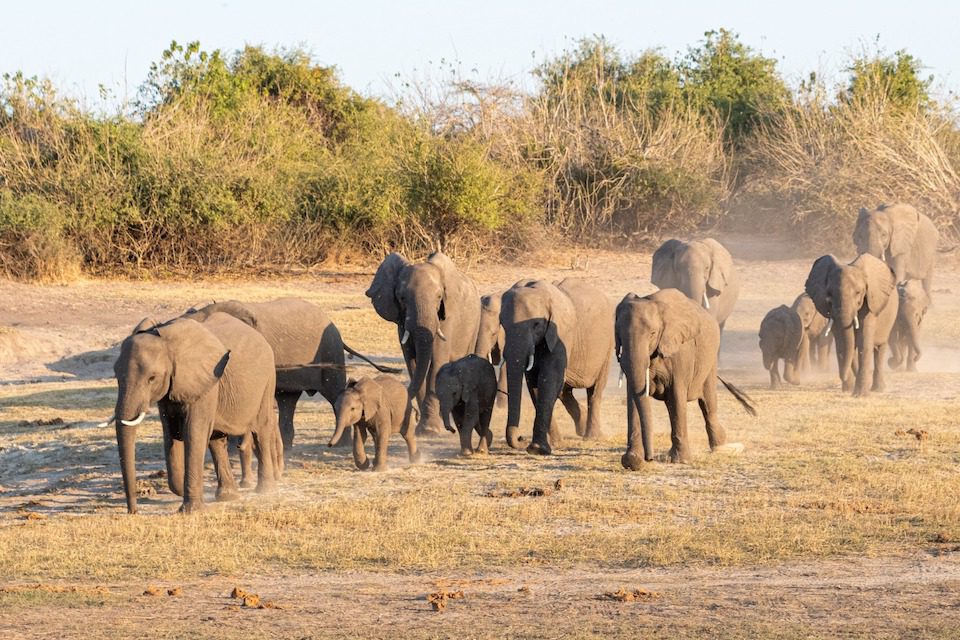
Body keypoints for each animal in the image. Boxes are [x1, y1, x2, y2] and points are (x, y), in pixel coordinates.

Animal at [110, 312, 282, 512]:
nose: (134, 511)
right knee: (216, 440)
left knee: (260, 430)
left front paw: (190, 511)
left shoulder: (207, 383)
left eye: (152, 378)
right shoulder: (172, 389)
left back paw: (265, 491)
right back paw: (228, 496)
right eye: (116, 377)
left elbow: (193, 432)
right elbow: (171, 432)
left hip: (268, 380)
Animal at [364, 250, 480, 436]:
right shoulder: (402, 322)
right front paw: (424, 426)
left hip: (474, 323)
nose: (415, 414)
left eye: (439, 297)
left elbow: (436, 362)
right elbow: (413, 363)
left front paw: (429, 430)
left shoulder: (446, 317)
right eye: (402, 298)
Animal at [498, 278, 612, 452]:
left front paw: (537, 449)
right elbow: (535, 384)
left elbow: (548, 380)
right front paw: (554, 444)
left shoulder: (561, 335)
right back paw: (582, 427)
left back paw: (592, 436)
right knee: (564, 390)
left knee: (595, 390)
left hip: (607, 347)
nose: (521, 438)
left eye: (536, 324)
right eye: (502, 324)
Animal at [804, 254, 900, 396]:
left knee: (880, 348)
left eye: (858, 293)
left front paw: (860, 395)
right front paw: (848, 389)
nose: (842, 377)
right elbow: (841, 342)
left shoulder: (869, 305)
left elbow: (864, 341)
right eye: (829, 294)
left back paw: (878, 389)